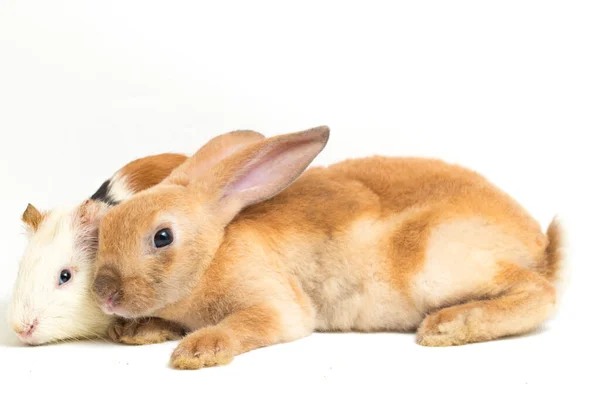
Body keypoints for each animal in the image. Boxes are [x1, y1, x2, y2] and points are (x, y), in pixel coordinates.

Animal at [90, 126, 564, 370]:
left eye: (162, 236)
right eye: (106, 226)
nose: (103, 292)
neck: (212, 252)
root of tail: (539, 244)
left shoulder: (277, 305)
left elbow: (249, 323)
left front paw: (198, 351)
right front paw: (134, 333)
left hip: (436, 266)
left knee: (540, 293)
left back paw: (447, 327)